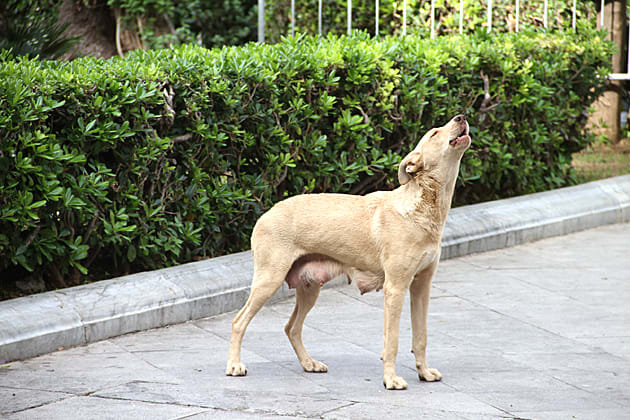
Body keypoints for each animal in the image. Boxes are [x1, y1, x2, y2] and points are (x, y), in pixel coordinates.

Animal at [226, 115, 470, 390]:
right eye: (434, 133)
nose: (461, 117)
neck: (421, 206)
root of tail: (266, 214)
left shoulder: (421, 286)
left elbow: (421, 337)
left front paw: (424, 372)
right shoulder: (395, 288)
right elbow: (392, 341)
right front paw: (391, 379)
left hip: (309, 288)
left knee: (292, 327)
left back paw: (309, 363)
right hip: (269, 280)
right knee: (239, 322)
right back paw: (234, 366)